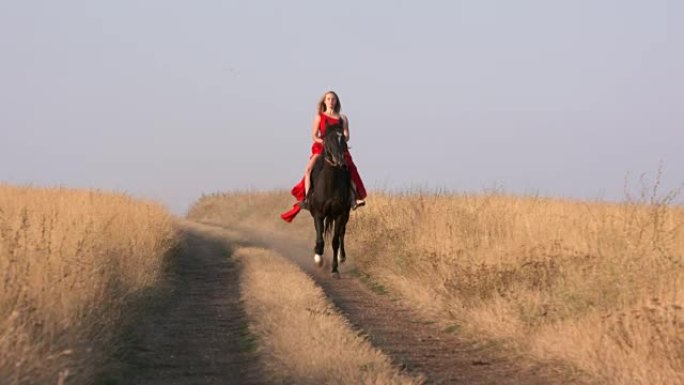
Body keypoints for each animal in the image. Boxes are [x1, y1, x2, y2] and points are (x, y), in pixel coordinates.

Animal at [310, 120, 352, 276]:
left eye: (343, 140)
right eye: (329, 140)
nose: (341, 162)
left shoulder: (340, 214)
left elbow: (335, 241)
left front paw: (334, 269)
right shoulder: (318, 214)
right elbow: (320, 239)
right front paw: (318, 258)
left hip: (345, 214)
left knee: (341, 234)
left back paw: (342, 257)